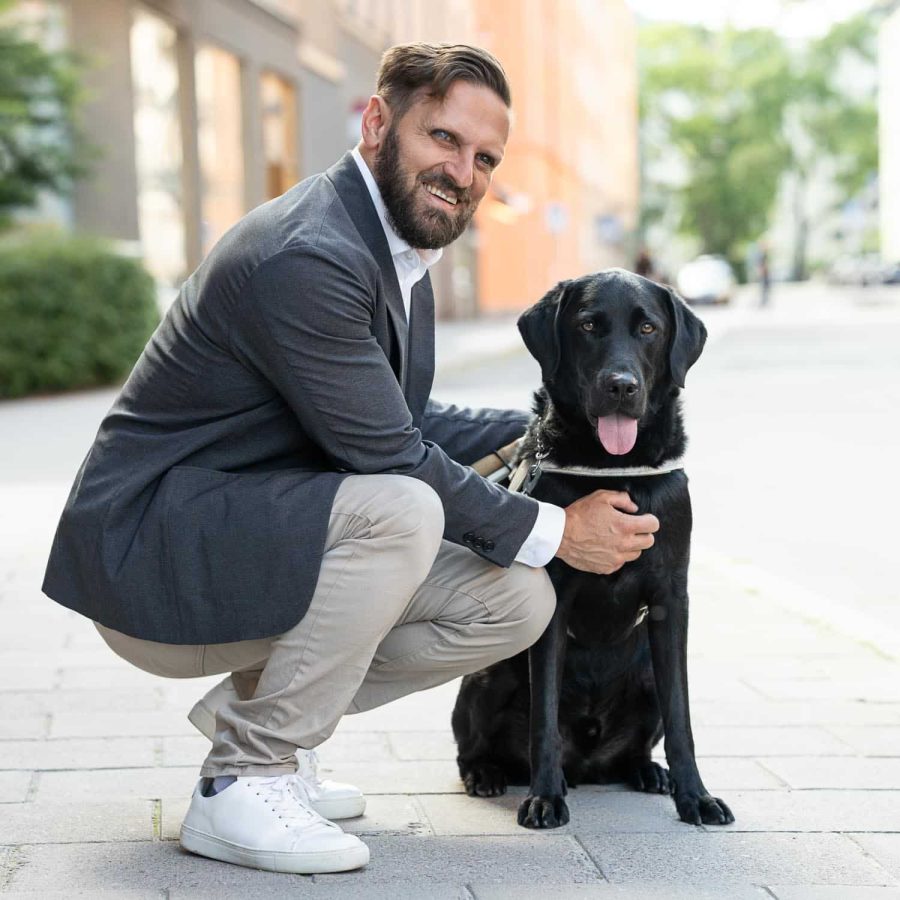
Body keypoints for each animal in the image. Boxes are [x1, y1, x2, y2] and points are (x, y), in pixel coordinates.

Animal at [454, 268, 736, 828]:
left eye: (648, 329)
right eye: (587, 326)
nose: (621, 386)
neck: (614, 468)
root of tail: (586, 765)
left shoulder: (671, 601)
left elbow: (682, 717)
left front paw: (695, 796)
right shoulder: (555, 599)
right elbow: (543, 716)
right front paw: (544, 797)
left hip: (645, 674)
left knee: (637, 746)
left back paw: (649, 772)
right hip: (489, 674)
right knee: (471, 748)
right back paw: (488, 773)